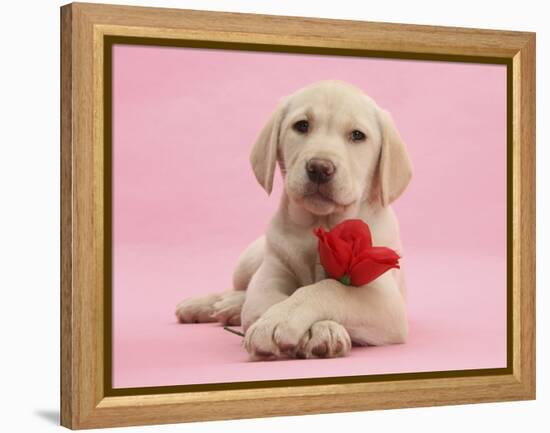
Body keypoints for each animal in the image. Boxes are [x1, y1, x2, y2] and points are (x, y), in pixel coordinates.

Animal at [175, 80, 412, 358]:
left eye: (357, 135)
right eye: (302, 126)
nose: (319, 168)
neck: (319, 224)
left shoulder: (384, 299)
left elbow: (328, 288)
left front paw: (316, 328)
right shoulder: (268, 280)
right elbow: (271, 300)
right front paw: (275, 321)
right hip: (248, 260)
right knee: (239, 289)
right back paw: (209, 304)